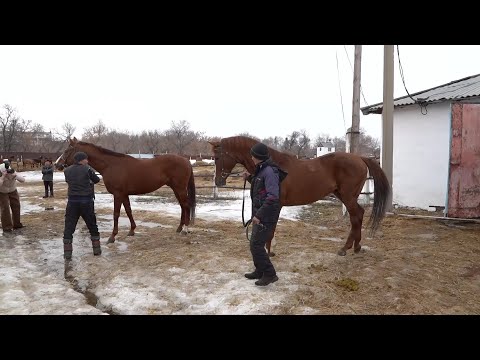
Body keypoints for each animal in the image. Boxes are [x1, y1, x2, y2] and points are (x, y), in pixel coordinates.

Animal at [53, 137, 194, 242]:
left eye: (67, 150)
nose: (57, 164)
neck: (110, 165)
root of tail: (185, 160)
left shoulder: (118, 194)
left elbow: (116, 214)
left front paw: (112, 237)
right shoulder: (124, 195)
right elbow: (129, 211)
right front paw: (132, 230)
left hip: (180, 188)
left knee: (186, 205)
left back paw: (185, 229)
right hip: (176, 188)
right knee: (182, 206)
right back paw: (179, 228)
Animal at [209, 135, 390, 256]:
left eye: (217, 157)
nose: (218, 181)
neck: (274, 166)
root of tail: (359, 158)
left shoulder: (276, 205)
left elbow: (271, 229)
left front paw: (268, 251)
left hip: (348, 197)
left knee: (356, 216)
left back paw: (346, 248)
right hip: (343, 195)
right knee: (358, 215)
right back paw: (356, 247)